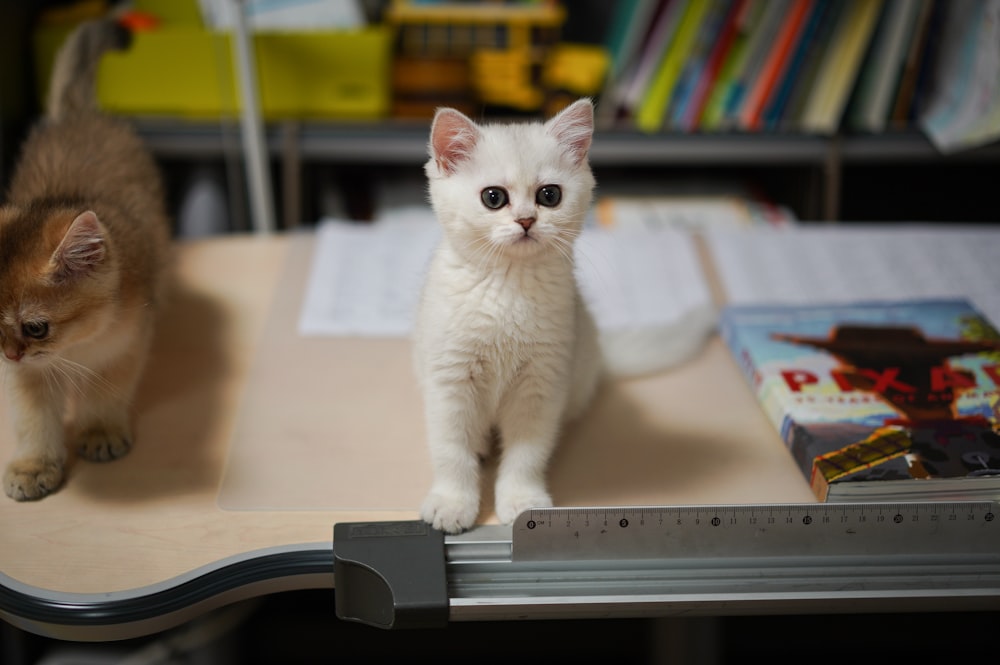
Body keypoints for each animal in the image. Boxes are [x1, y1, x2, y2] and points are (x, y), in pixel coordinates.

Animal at [0, 18, 172, 500]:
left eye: (36, 327)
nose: (10, 355)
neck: (75, 348)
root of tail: (77, 113)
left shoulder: (126, 347)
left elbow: (105, 396)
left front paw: (99, 432)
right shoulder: (25, 379)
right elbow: (32, 420)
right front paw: (33, 466)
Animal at [418, 98, 716, 536]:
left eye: (549, 195)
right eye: (493, 197)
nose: (526, 220)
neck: (509, 289)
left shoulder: (542, 384)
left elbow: (527, 453)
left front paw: (522, 502)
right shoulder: (448, 382)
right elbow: (451, 450)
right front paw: (452, 502)